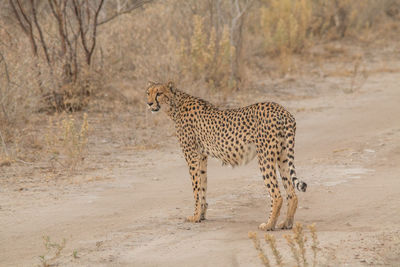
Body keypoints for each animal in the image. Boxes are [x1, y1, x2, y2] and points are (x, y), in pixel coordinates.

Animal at [146, 81, 306, 230]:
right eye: (148, 92)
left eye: (159, 93)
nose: (149, 103)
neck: (175, 105)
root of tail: (282, 110)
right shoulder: (202, 156)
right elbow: (203, 185)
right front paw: (202, 215)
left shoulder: (191, 156)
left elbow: (196, 188)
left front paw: (195, 216)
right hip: (282, 156)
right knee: (292, 193)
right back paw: (286, 223)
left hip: (265, 157)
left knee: (277, 195)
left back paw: (268, 225)